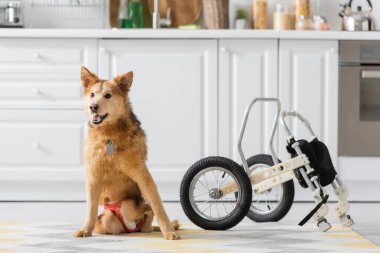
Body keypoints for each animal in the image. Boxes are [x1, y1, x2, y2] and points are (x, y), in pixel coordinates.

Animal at [74, 66, 181, 240]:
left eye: (108, 95)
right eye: (92, 95)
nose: (93, 106)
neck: (108, 136)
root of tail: (132, 229)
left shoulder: (142, 174)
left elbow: (157, 205)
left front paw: (169, 231)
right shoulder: (93, 176)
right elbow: (91, 209)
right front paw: (85, 230)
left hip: (130, 204)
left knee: (147, 210)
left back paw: (148, 227)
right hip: (106, 221)